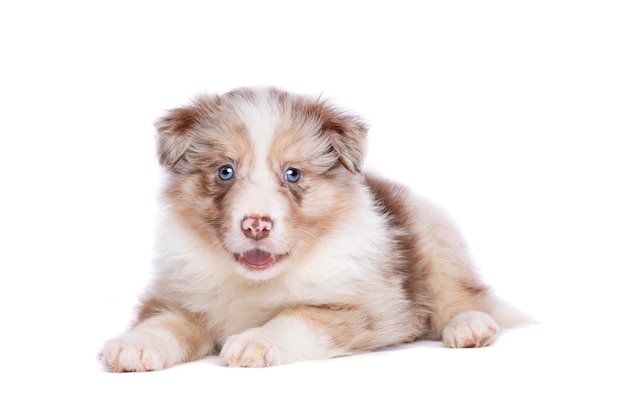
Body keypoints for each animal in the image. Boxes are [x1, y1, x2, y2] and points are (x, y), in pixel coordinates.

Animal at [100, 85, 524, 370]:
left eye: (292, 173)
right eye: (225, 171)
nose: (255, 224)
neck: (257, 282)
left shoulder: (365, 305)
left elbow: (299, 316)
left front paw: (255, 341)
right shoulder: (180, 292)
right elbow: (164, 320)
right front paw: (135, 345)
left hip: (435, 235)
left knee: (460, 294)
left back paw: (470, 327)